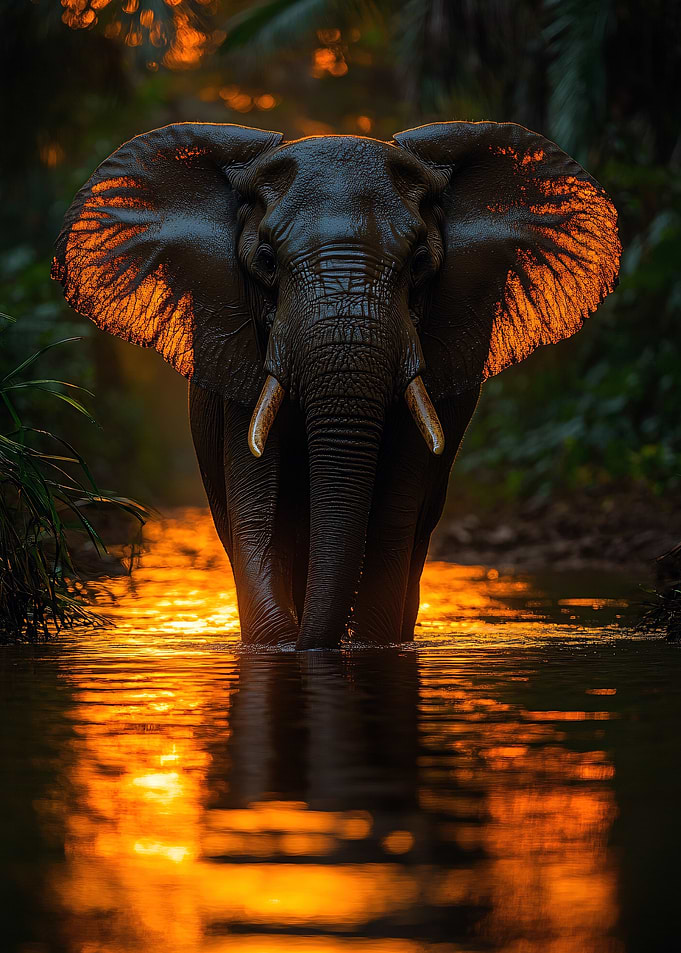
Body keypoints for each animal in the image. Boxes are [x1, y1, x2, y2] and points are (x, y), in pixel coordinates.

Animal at [52, 120, 620, 650]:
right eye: (265, 259)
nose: (316, 642)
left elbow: (395, 516)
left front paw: (361, 643)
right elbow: (258, 514)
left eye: (419, 262)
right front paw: (282, 645)